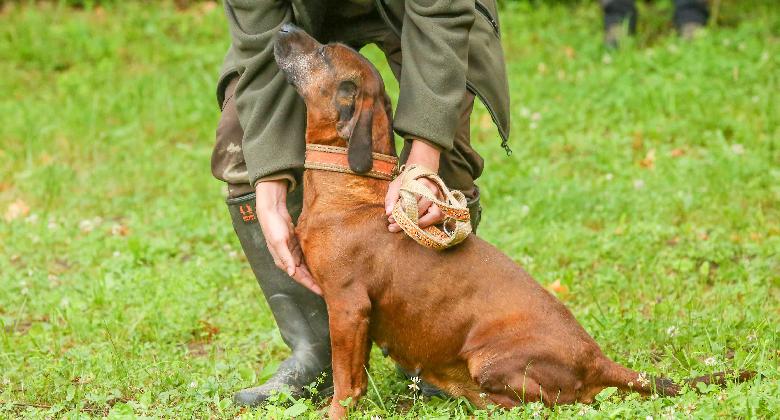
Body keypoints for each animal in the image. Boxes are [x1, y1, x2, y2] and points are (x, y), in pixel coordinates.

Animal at [272, 23, 748, 420]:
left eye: (324, 52)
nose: (283, 27)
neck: (351, 188)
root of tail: (597, 359)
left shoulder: (348, 307)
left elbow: (346, 384)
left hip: (489, 361)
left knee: (548, 402)